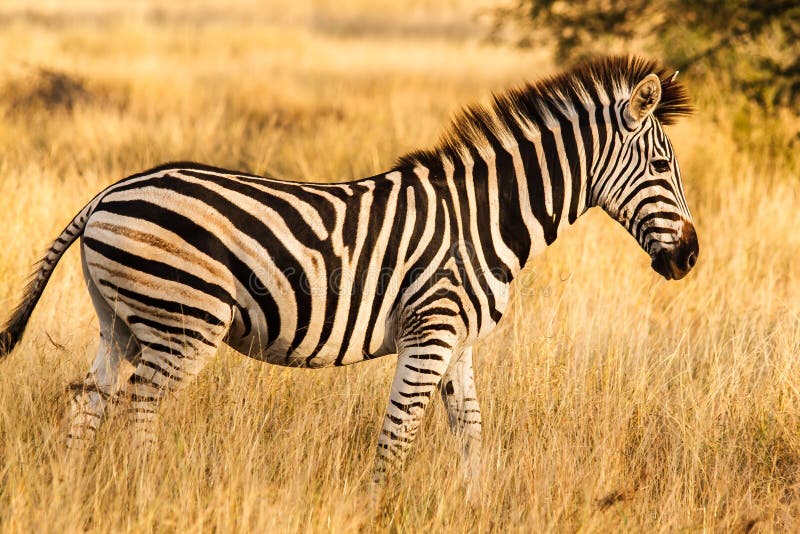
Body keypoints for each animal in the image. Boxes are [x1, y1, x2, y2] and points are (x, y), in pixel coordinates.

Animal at [0, 55, 692, 502]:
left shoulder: (459, 344)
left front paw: (476, 508)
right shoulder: (430, 334)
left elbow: (470, 435)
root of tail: (107, 194)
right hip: (183, 322)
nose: (690, 258)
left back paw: (70, 495)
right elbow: (397, 437)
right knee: (138, 405)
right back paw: (143, 494)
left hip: (119, 320)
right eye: (662, 166)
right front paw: (377, 511)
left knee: (87, 404)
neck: (483, 218)